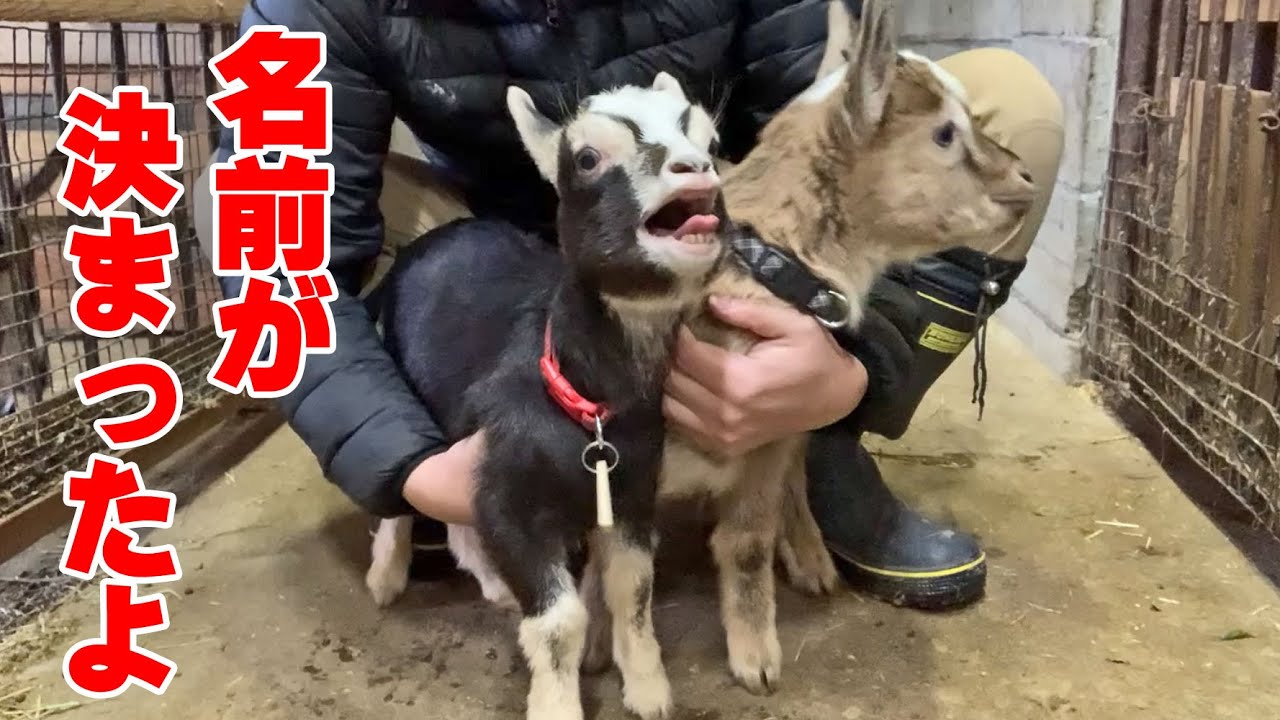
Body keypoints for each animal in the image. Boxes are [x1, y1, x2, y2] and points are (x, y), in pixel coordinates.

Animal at [368, 75, 725, 720]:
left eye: (711, 141)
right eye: (586, 158)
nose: (695, 170)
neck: (586, 397)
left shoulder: (634, 493)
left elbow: (633, 589)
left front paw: (648, 687)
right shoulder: (512, 498)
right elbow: (560, 621)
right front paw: (557, 705)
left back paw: (491, 584)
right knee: (401, 496)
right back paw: (386, 575)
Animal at [577, 0, 1039, 696]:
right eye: (944, 134)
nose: (1023, 178)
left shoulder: (764, 430)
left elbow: (744, 542)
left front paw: (756, 657)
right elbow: (607, 551)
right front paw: (596, 641)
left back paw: (812, 558)